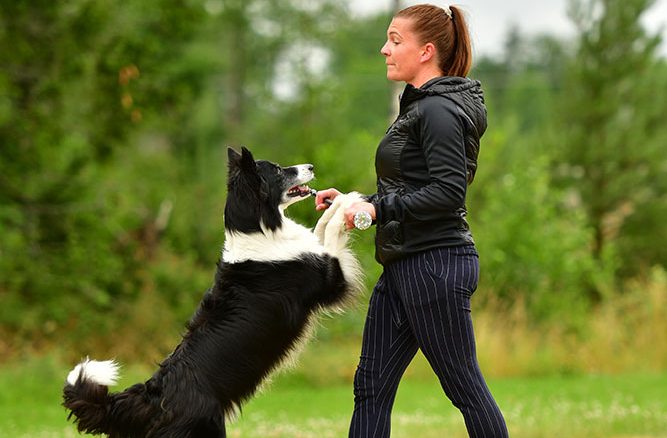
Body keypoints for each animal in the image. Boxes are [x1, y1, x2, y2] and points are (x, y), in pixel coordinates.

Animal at [62, 148, 362, 438]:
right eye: (277, 170)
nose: (310, 166)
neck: (257, 230)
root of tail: (152, 397)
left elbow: (322, 226)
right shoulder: (331, 279)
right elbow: (332, 229)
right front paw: (349, 202)